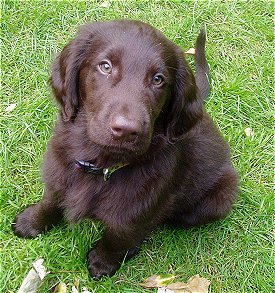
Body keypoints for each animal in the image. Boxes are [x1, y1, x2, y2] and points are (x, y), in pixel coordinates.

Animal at [11, 20, 238, 276]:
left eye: (158, 79)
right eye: (105, 66)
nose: (127, 130)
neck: (102, 166)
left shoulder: (134, 212)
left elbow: (118, 236)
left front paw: (103, 263)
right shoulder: (59, 173)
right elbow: (50, 200)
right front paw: (31, 222)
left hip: (215, 200)